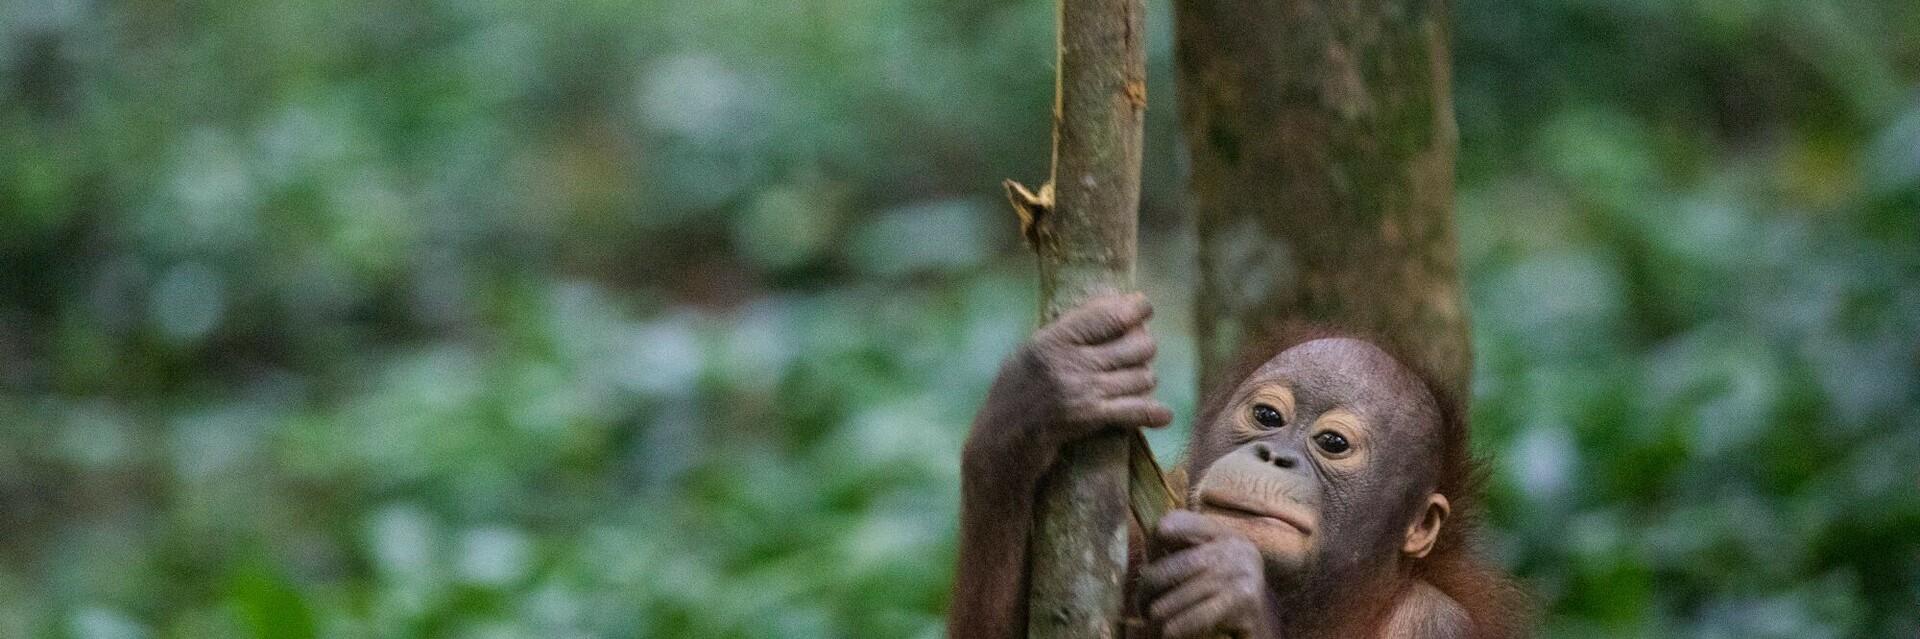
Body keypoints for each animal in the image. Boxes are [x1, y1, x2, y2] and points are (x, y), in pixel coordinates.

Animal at [948, 293, 1527, 638]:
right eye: (1267, 416)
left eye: (1333, 443)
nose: (1275, 455)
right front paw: (1037, 396)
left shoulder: (1437, 625)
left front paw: (1231, 588)